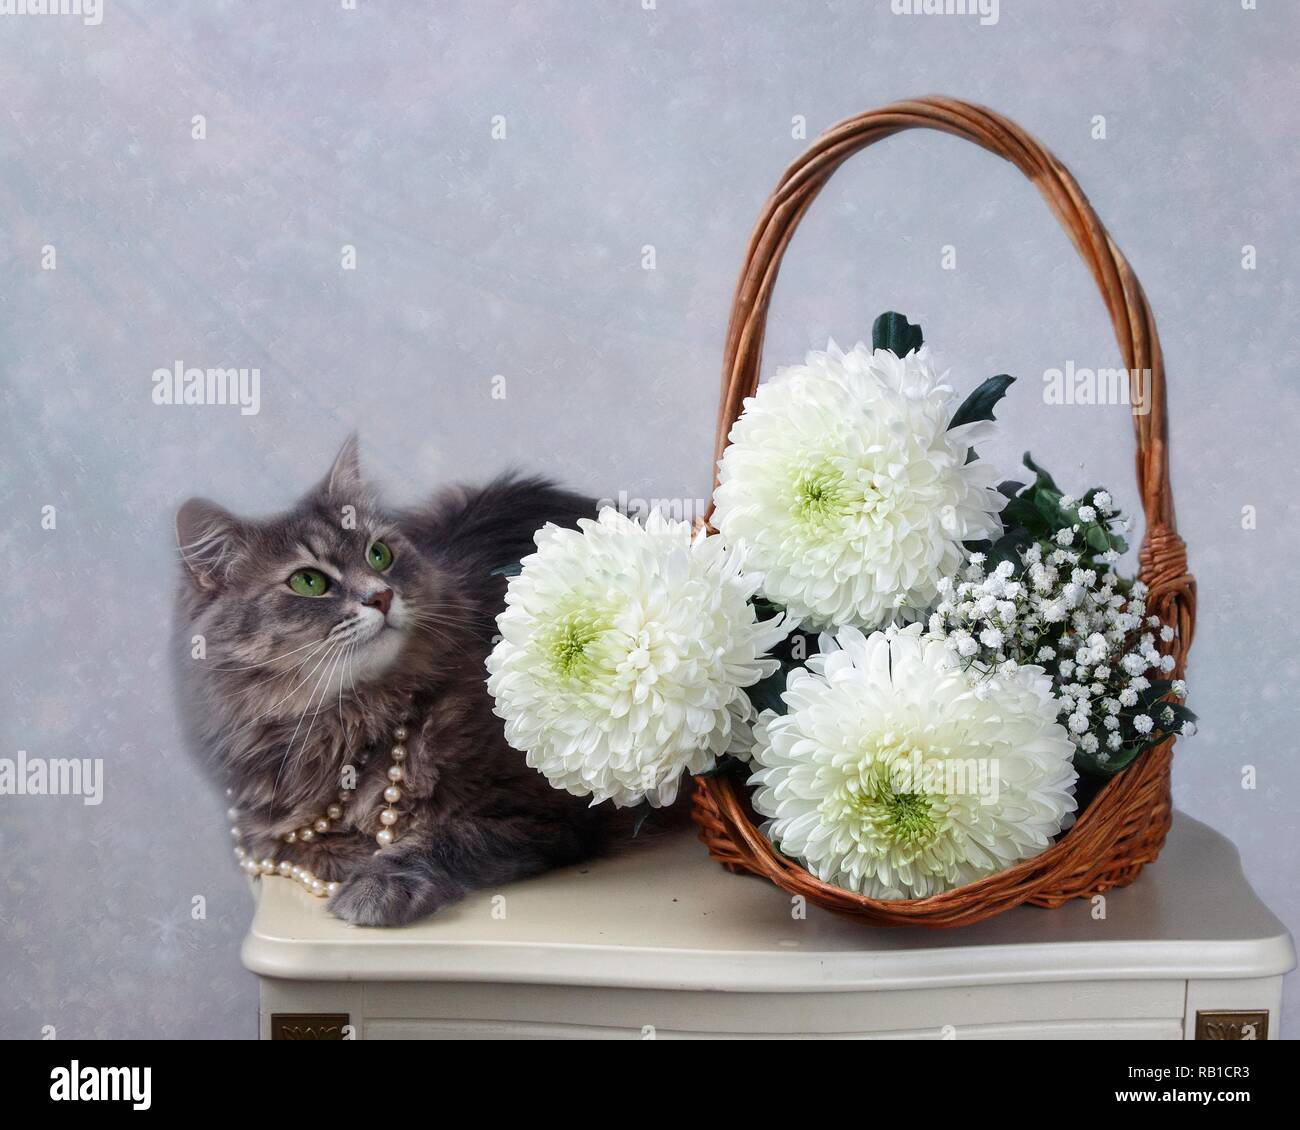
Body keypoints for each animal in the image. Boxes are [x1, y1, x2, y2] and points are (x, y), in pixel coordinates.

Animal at [171, 436, 624, 920]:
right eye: (308, 582)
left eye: (379, 555)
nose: (381, 596)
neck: (356, 720)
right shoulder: (263, 832)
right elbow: (311, 848)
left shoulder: (543, 813)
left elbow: (443, 837)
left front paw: (377, 883)